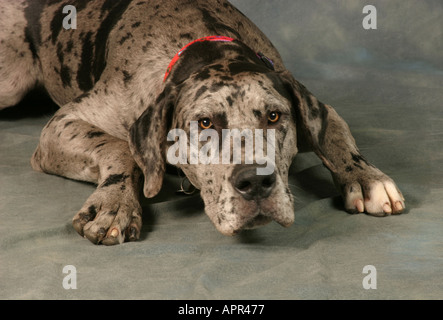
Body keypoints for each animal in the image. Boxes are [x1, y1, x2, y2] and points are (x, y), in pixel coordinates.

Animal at [0, 0, 406, 245]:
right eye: (206, 123)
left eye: (274, 116)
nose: (256, 182)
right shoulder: (64, 123)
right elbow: (121, 148)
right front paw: (116, 203)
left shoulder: (313, 105)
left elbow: (335, 132)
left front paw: (367, 178)